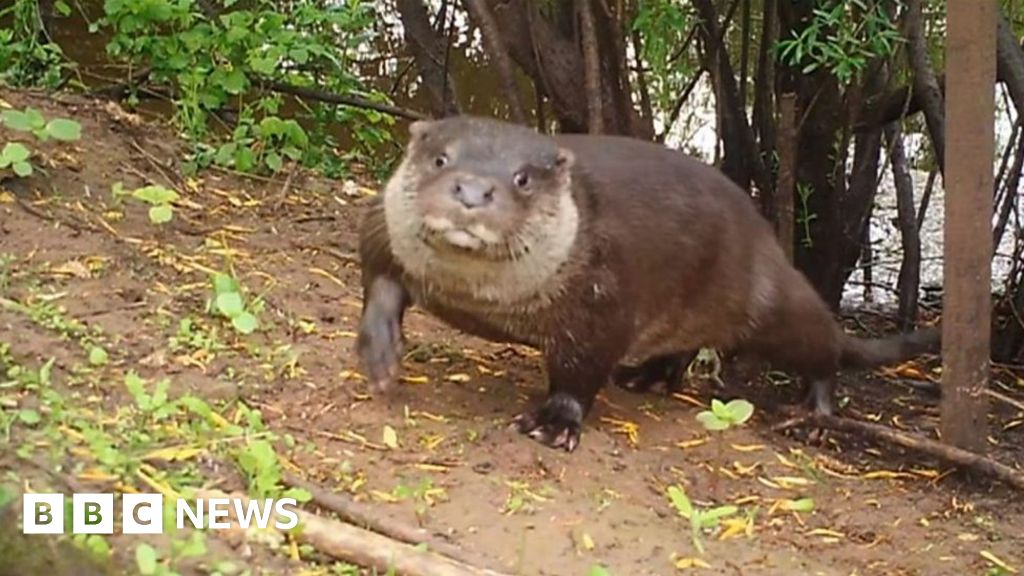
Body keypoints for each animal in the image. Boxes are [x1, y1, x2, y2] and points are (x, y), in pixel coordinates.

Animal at [354, 115, 939, 452]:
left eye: (522, 179)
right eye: (441, 158)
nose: (474, 191)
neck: (480, 298)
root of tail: (768, 237)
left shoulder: (603, 300)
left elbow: (580, 371)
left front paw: (555, 422)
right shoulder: (381, 228)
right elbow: (378, 279)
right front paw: (379, 349)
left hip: (772, 298)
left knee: (822, 343)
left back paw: (815, 412)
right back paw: (649, 376)